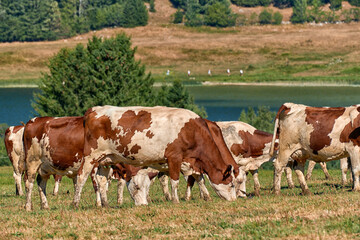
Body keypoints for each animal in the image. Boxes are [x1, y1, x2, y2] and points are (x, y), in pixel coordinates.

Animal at [72, 106, 242, 207]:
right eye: (232, 184)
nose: (234, 200)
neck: (191, 130)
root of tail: (95, 109)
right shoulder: (174, 157)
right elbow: (175, 181)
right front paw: (175, 200)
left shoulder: (191, 162)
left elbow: (199, 178)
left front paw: (206, 197)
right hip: (91, 156)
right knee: (81, 177)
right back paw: (75, 203)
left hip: (106, 159)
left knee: (101, 181)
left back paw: (105, 205)